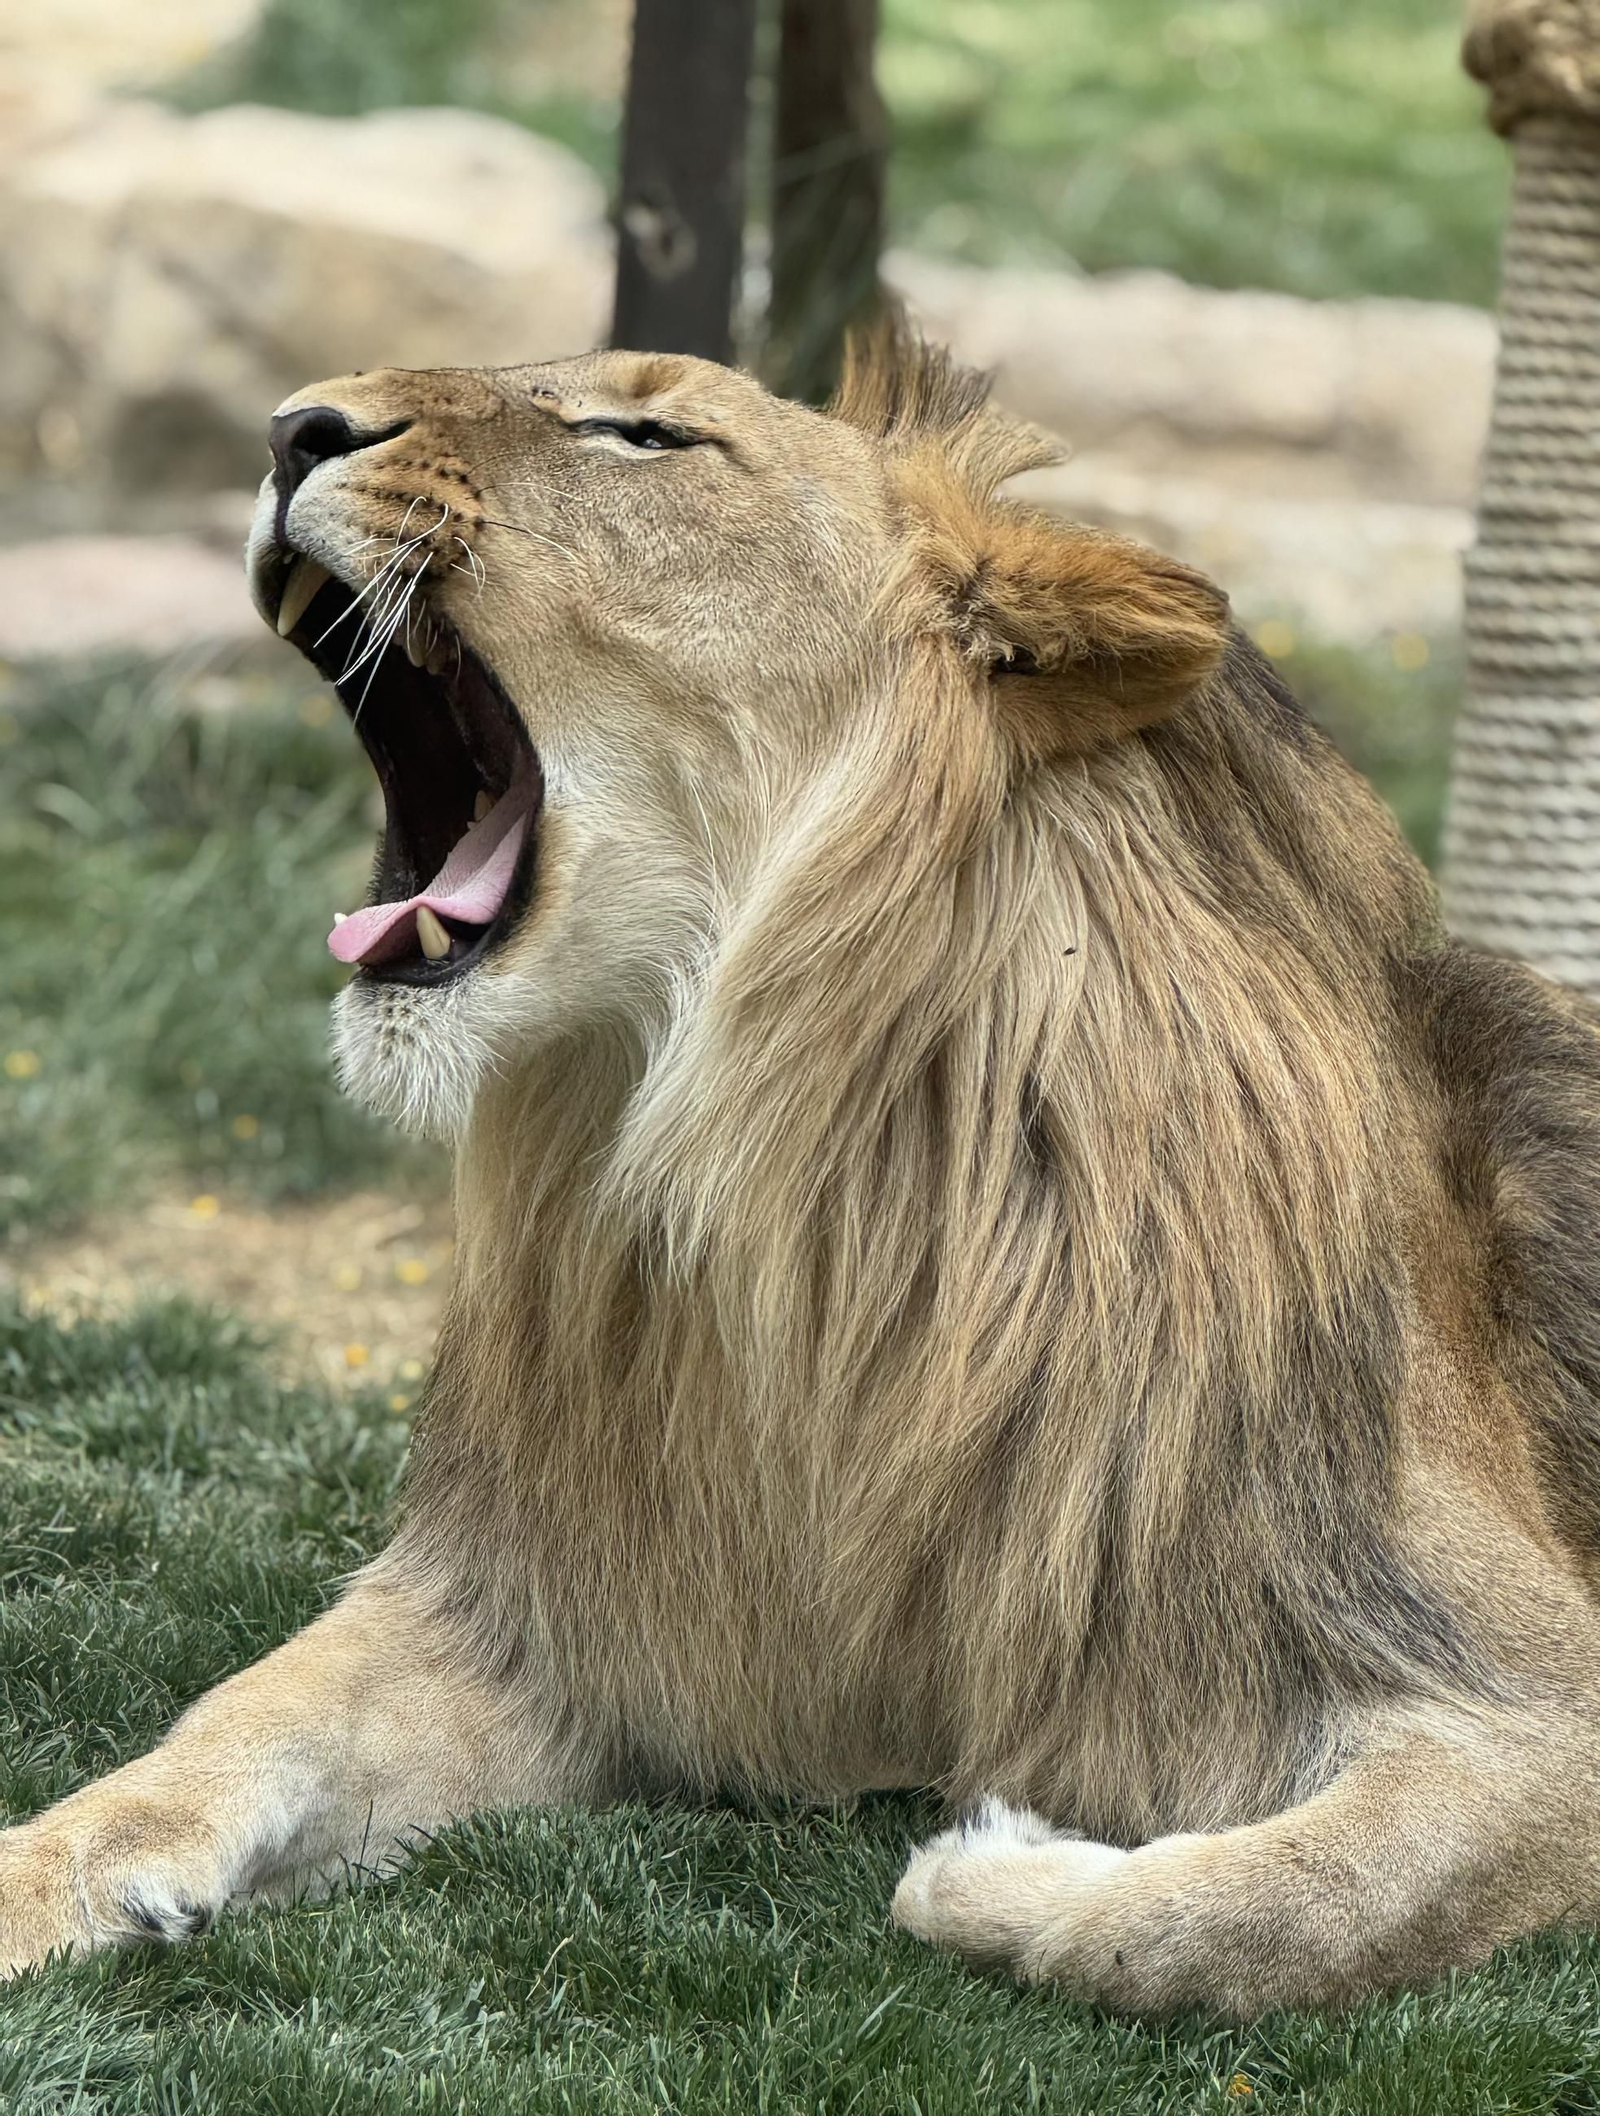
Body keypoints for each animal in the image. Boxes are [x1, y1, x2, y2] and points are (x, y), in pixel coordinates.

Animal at [6, 321, 1600, 2019]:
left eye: (645, 435)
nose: (290, 428)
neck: (810, 1202)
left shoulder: (1517, 1690)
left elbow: (1258, 1918)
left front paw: (995, 1865)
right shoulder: (555, 1622)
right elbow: (228, 1725)